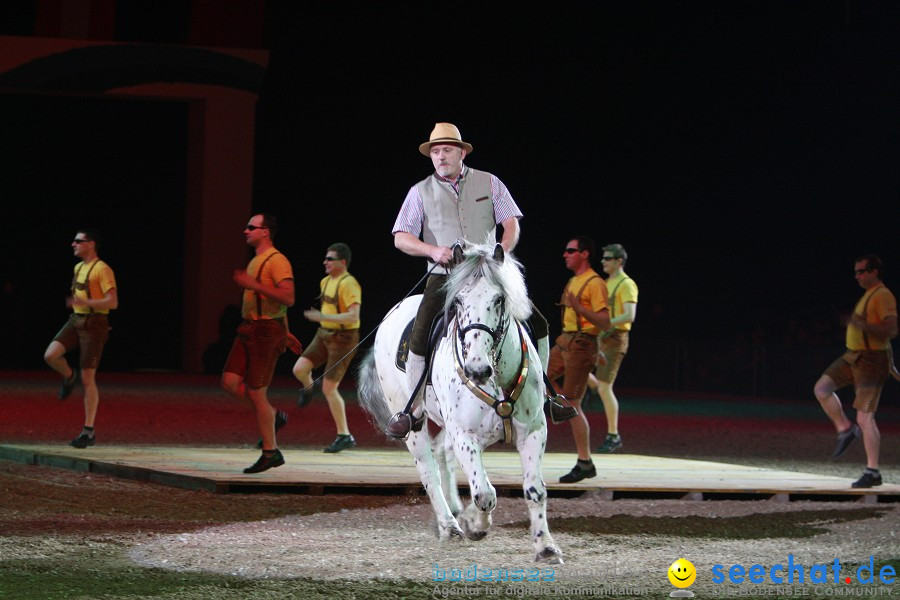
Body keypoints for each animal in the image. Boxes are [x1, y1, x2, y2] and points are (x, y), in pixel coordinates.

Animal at [358, 239, 564, 564]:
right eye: (457, 302)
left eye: (499, 299)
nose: (477, 371)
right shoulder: (465, 436)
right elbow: (484, 493)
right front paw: (474, 525)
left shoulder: (532, 431)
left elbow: (534, 489)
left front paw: (545, 546)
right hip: (413, 421)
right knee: (428, 469)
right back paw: (450, 526)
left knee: (442, 452)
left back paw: (456, 511)